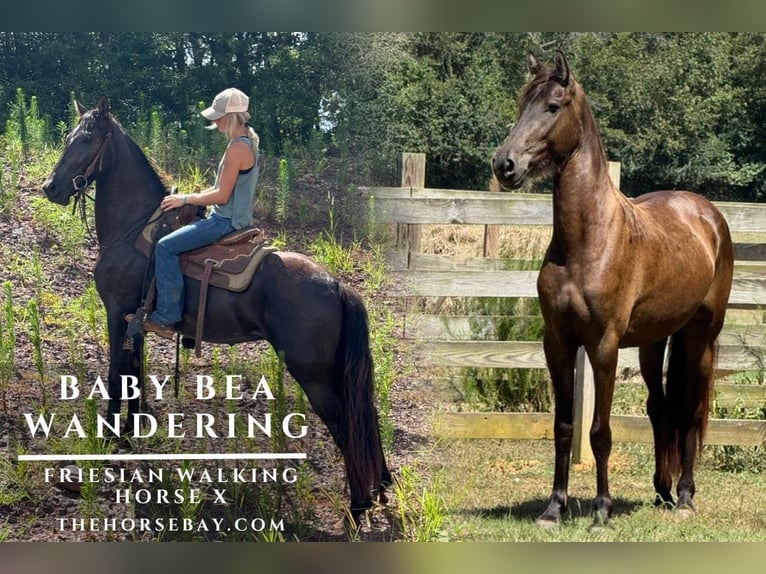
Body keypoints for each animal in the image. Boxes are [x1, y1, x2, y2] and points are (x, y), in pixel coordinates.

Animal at [41, 96, 391, 526]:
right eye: (69, 136)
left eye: (88, 138)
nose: (51, 188)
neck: (132, 229)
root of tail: (337, 285)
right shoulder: (134, 322)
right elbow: (134, 375)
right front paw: (128, 437)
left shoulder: (116, 314)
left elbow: (115, 377)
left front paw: (106, 441)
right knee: (366, 417)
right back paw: (380, 488)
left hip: (314, 374)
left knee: (345, 425)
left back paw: (358, 508)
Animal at [492, 52, 734, 526]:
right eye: (521, 104)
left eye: (553, 106)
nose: (504, 165)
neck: (587, 240)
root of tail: (708, 215)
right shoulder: (558, 343)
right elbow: (564, 427)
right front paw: (554, 508)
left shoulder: (603, 346)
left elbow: (600, 431)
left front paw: (601, 508)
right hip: (653, 342)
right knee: (661, 409)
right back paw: (661, 491)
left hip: (701, 336)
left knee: (691, 411)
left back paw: (685, 498)